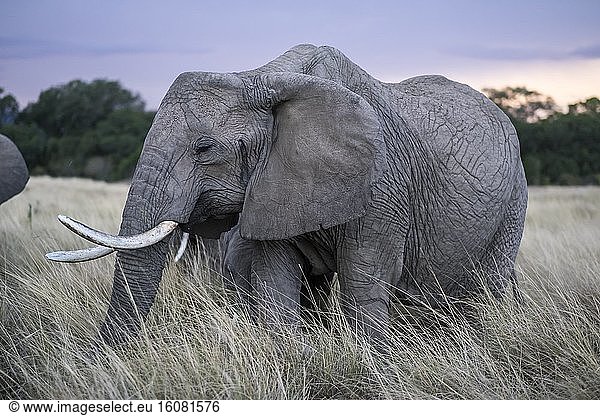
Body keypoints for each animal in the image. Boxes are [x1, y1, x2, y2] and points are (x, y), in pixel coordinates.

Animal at [47, 44, 524, 346]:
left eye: (205, 149)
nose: (103, 358)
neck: (261, 76)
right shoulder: (273, 186)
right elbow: (276, 280)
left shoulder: (381, 185)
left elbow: (364, 283)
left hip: (514, 198)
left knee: (489, 285)